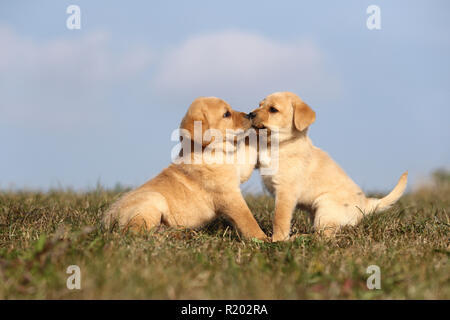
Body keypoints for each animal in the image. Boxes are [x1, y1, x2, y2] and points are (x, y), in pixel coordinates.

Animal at [103, 97, 268, 240]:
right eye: (226, 114)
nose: (249, 115)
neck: (211, 151)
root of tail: (106, 219)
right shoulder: (229, 195)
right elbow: (247, 220)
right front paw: (263, 239)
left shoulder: (239, 168)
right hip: (152, 201)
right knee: (135, 231)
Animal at [250, 90, 408, 240]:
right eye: (259, 105)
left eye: (273, 109)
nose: (250, 114)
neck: (279, 144)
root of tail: (364, 204)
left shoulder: (285, 191)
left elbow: (279, 218)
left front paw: (277, 239)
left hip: (325, 208)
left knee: (324, 235)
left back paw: (299, 237)